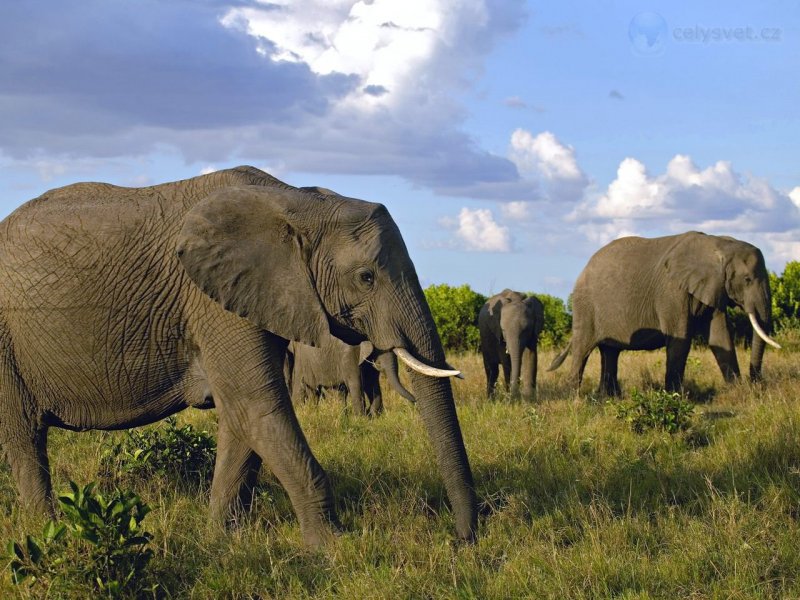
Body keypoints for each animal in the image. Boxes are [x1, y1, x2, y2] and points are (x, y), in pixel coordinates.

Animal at [286, 336, 415, 416]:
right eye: (380, 350)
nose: (415, 402)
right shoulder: (350, 354)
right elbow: (356, 383)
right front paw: (361, 418)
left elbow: (371, 384)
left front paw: (373, 415)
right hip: (304, 361)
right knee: (308, 389)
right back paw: (305, 412)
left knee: (337, 392)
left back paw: (342, 415)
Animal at [549, 231, 780, 396]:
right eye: (747, 279)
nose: (757, 382)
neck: (718, 244)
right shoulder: (672, 293)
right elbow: (680, 339)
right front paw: (675, 397)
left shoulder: (712, 288)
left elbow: (720, 337)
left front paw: (737, 391)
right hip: (585, 306)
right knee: (583, 349)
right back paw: (575, 398)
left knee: (610, 351)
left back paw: (609, 397)